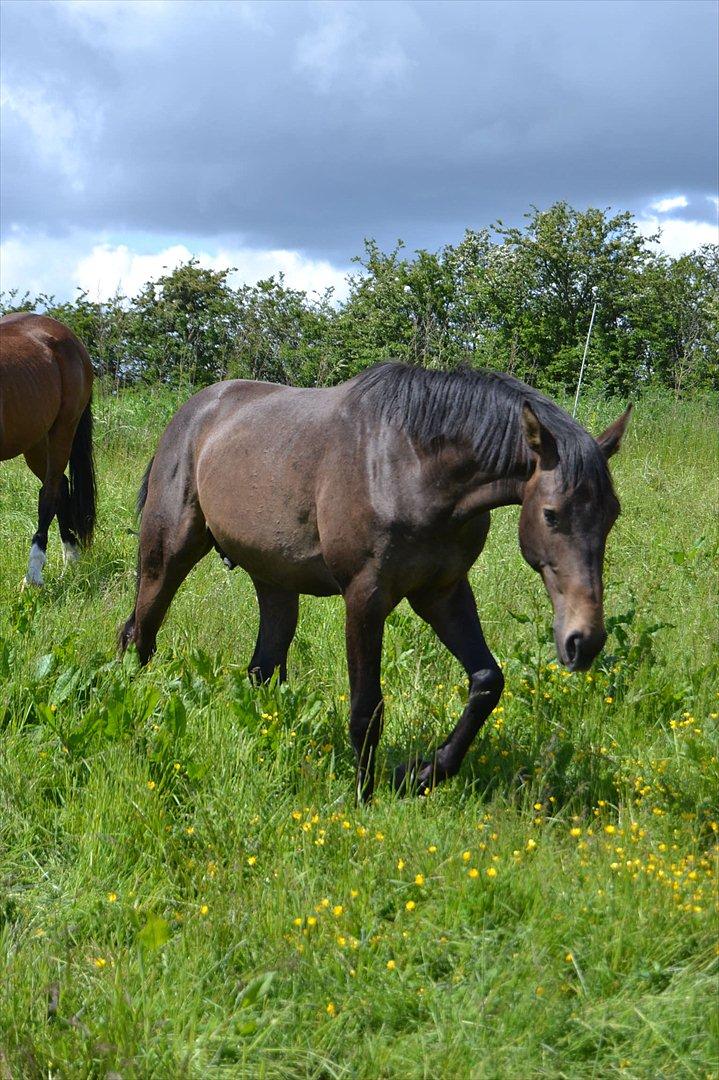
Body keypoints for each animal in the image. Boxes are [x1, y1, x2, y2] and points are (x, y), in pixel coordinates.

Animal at [0, 313, 96, 583]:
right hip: (36, 443)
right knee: (61, 486)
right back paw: (71, 561)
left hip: (63, 429)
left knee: (50, 494)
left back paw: (33, 574)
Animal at [121, 362, 626, 803]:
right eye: (551, 514)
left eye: (611, 516)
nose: (584, 641)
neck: (412, 465)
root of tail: (192, 413)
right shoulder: (365, 598)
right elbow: (367, 709)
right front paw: (363, 799)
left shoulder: (443, 592)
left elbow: (487, 681)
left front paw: (422, 773)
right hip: (168, 553)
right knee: (139, 634)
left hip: (275, 581)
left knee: (262, 668)